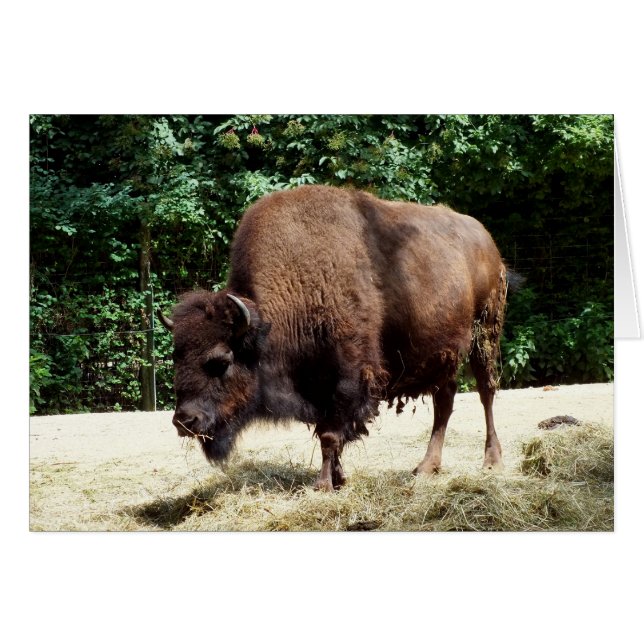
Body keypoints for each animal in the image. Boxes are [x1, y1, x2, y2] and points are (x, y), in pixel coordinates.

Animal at [158, 185, 511, 490]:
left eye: (221, 361)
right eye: (176, 357)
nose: (184, 420)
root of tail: (486, 239)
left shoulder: (348, 377)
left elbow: (330, 434)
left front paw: (323, 485)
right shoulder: (318, 387)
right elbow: (327, 433)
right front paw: (339, 479)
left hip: (485, 334)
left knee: (486, 391)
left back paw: (491, 461)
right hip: (443, 353)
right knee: (445, 400)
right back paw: (426, 467)